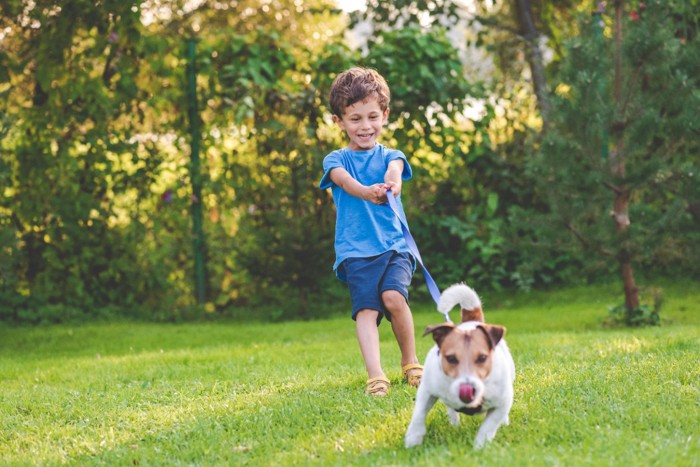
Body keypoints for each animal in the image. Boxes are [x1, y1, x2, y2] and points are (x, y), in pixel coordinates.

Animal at [404, 284, 516, 452]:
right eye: (451, 358)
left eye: (482, 358)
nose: (467, 389)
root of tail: (472, 321)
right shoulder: (427, 390)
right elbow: (419, 414)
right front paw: (413, 439)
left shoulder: (502, 401)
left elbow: (488, 426)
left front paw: (480, 446)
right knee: (450, 408)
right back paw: (454, 422)